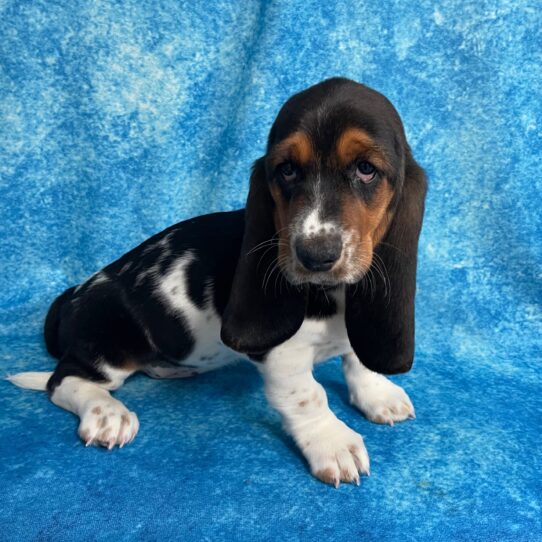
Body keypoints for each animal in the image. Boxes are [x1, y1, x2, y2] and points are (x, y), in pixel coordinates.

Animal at [6, 76, 428, 488]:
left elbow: (358, 359)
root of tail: (72, 296)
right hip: (110, 343)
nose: (315, 255)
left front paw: (378, 395)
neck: (333, 294)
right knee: (64, 380)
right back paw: (108, 413)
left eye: (366, 169)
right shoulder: (283, 355)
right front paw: (334, 443)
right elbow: (308, 396)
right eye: (287, 170)